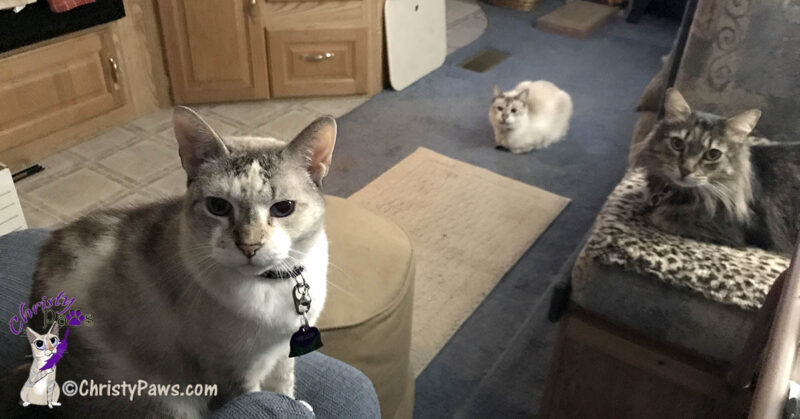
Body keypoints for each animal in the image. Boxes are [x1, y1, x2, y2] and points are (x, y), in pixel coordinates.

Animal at [4, 108, 334, 416]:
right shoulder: (234, 374)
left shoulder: (282, 352)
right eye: (218, 207)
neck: (274, 283)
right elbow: (259, 398)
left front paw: (298, 405)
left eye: (283, 208)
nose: (249, 246)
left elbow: (283, 387)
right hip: (165, 399)